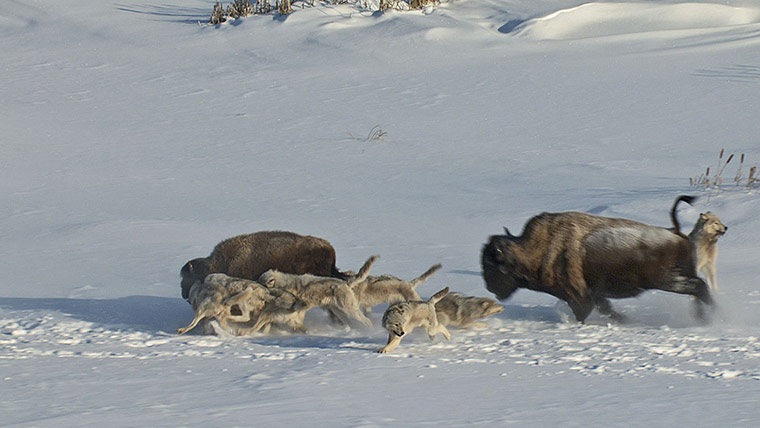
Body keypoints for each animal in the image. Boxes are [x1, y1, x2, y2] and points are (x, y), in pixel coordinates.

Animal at [480, 196, 712, 322]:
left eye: (492, 265)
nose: (489, 287)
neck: (535, 249)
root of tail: (675, 231)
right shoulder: (595, 295)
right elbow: (607, 309)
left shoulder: (580, 297)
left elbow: (584, 312)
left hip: (667, 280)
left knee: (699, 288)